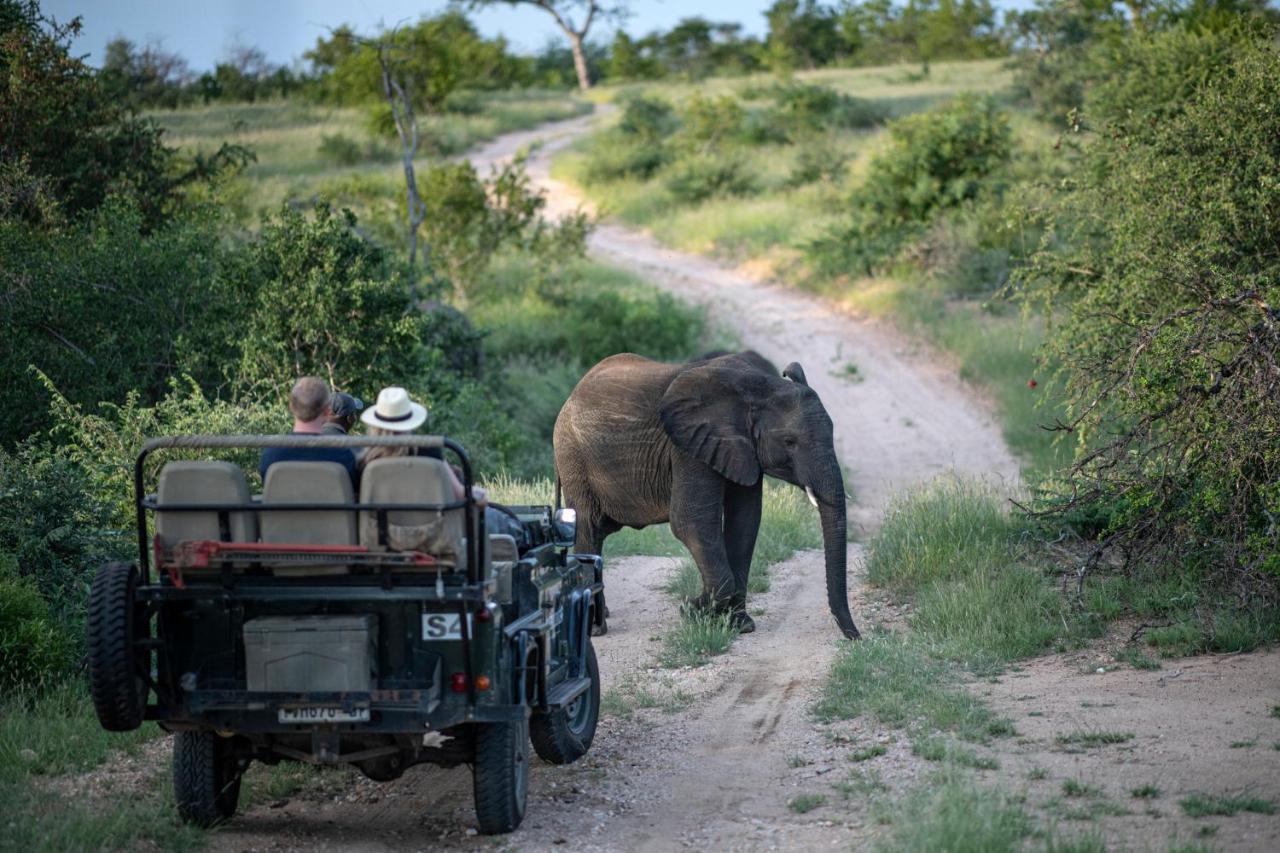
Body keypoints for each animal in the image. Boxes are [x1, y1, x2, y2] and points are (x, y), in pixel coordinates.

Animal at [550, 348, 860, 637]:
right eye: (790, 442)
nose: (855, 637)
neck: (759, 387)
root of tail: (570, 396)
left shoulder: (741, 450)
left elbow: (745, 522)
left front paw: (739, 625)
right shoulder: (688, 447)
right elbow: (690, 522)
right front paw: (691, 609)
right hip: (573, 455)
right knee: (589, 526)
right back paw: (594, 630)